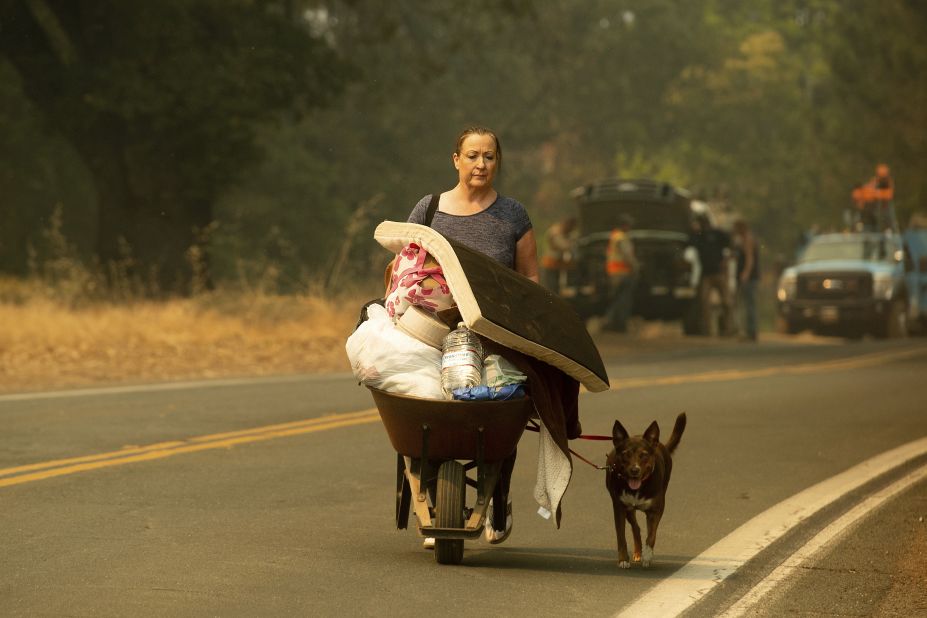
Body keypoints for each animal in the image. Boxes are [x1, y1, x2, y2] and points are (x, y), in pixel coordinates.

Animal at [604, 412, 684, 564]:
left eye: (644, 455)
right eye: (626, 454)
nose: (634, 470)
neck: (637, 489)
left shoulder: (656, 510)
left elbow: (652, 535)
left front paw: (648, 554)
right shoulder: (619, 508)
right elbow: (621, 536)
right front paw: (623, 559)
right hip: (629, 511)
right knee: (636, 528)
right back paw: (637, 552)